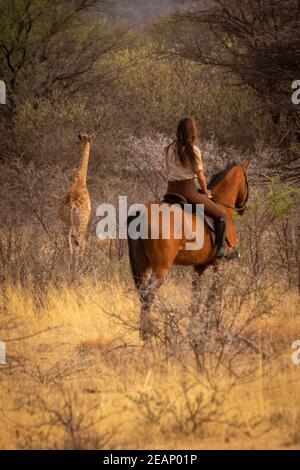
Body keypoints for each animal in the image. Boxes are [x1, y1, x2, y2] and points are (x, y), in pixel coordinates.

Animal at [127, 160, 250, 340]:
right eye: (247, 181)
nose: (243, 208)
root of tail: (141, 211)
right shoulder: (219, 264)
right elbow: (214, 296)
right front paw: (212, 327)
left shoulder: (199, 267)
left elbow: (195, 299)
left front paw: (195, 329)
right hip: (161, 268)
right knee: (148, 295)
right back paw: (148, 334)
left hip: (143, 266)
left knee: (142, 295)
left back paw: (143, 332)